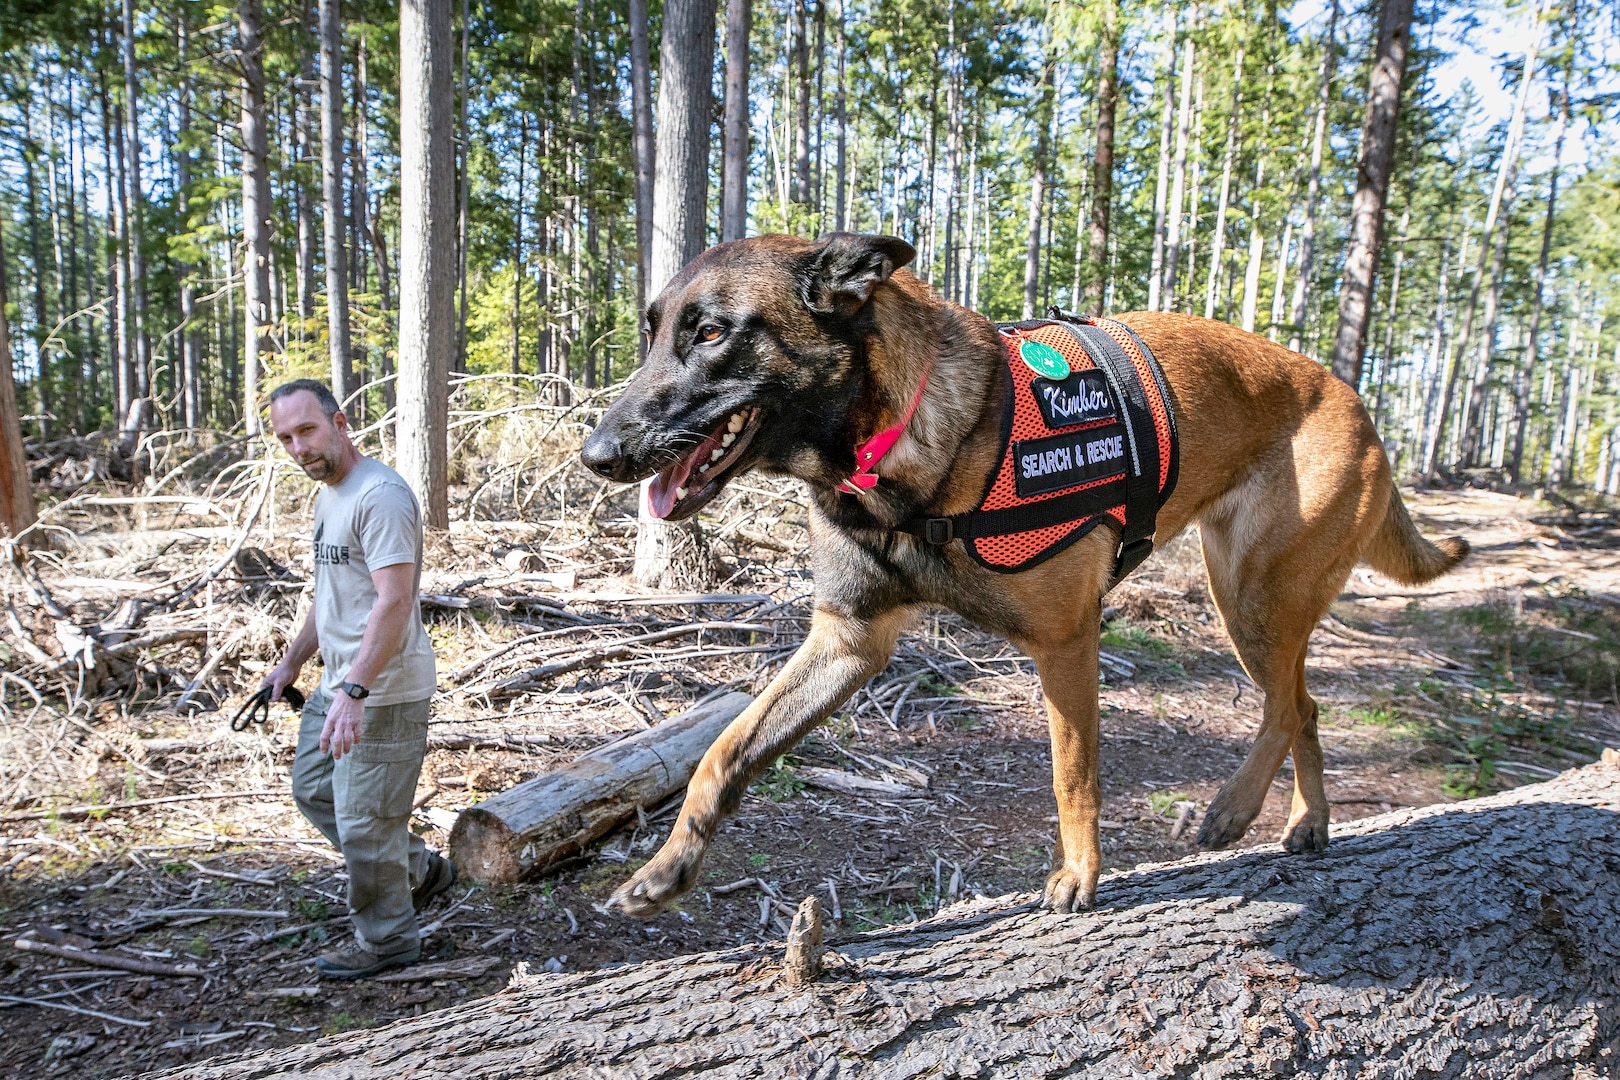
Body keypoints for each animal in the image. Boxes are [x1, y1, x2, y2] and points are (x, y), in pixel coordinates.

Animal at [583, 233, 1470, 919]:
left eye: (710, 333)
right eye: (654, 333)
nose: (597, 455)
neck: (897, 445)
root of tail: (1357, 402)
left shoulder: (1065, 643)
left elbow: (1071, 771)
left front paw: (1079, 874)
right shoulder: (848, 642)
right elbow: (724, 750)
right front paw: (666, 868)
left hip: (1252, 597)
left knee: (1287, 706)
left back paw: (1233, 809)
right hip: (1256, 605)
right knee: (1309, 705)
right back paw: (1308, 822)